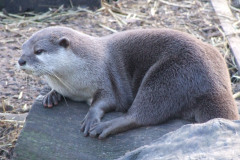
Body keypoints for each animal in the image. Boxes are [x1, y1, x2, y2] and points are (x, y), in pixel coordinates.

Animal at [17, 26, 239, 139]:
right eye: (23, 48)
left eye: (39, 51)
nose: (20, 61)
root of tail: (217, 86)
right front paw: (51, 95)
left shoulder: (105, 78)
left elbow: (106, 101)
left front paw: (91, 117)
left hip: (170, 77)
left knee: (142, 114)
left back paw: (105, 127)